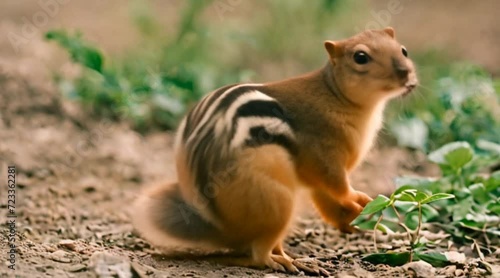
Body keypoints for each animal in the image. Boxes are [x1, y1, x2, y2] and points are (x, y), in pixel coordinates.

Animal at [132, 27, 418, 272]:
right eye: (360, 57)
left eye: (404, 50)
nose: (406, 73)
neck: (335, 94)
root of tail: (221, 228)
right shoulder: (323, 153)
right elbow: (337, 185)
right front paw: (360, 199)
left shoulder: (315, 177)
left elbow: (326, 198)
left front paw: (354, 217)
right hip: (278, 198)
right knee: (257, 256)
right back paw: (283, 262)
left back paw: (292, 257)